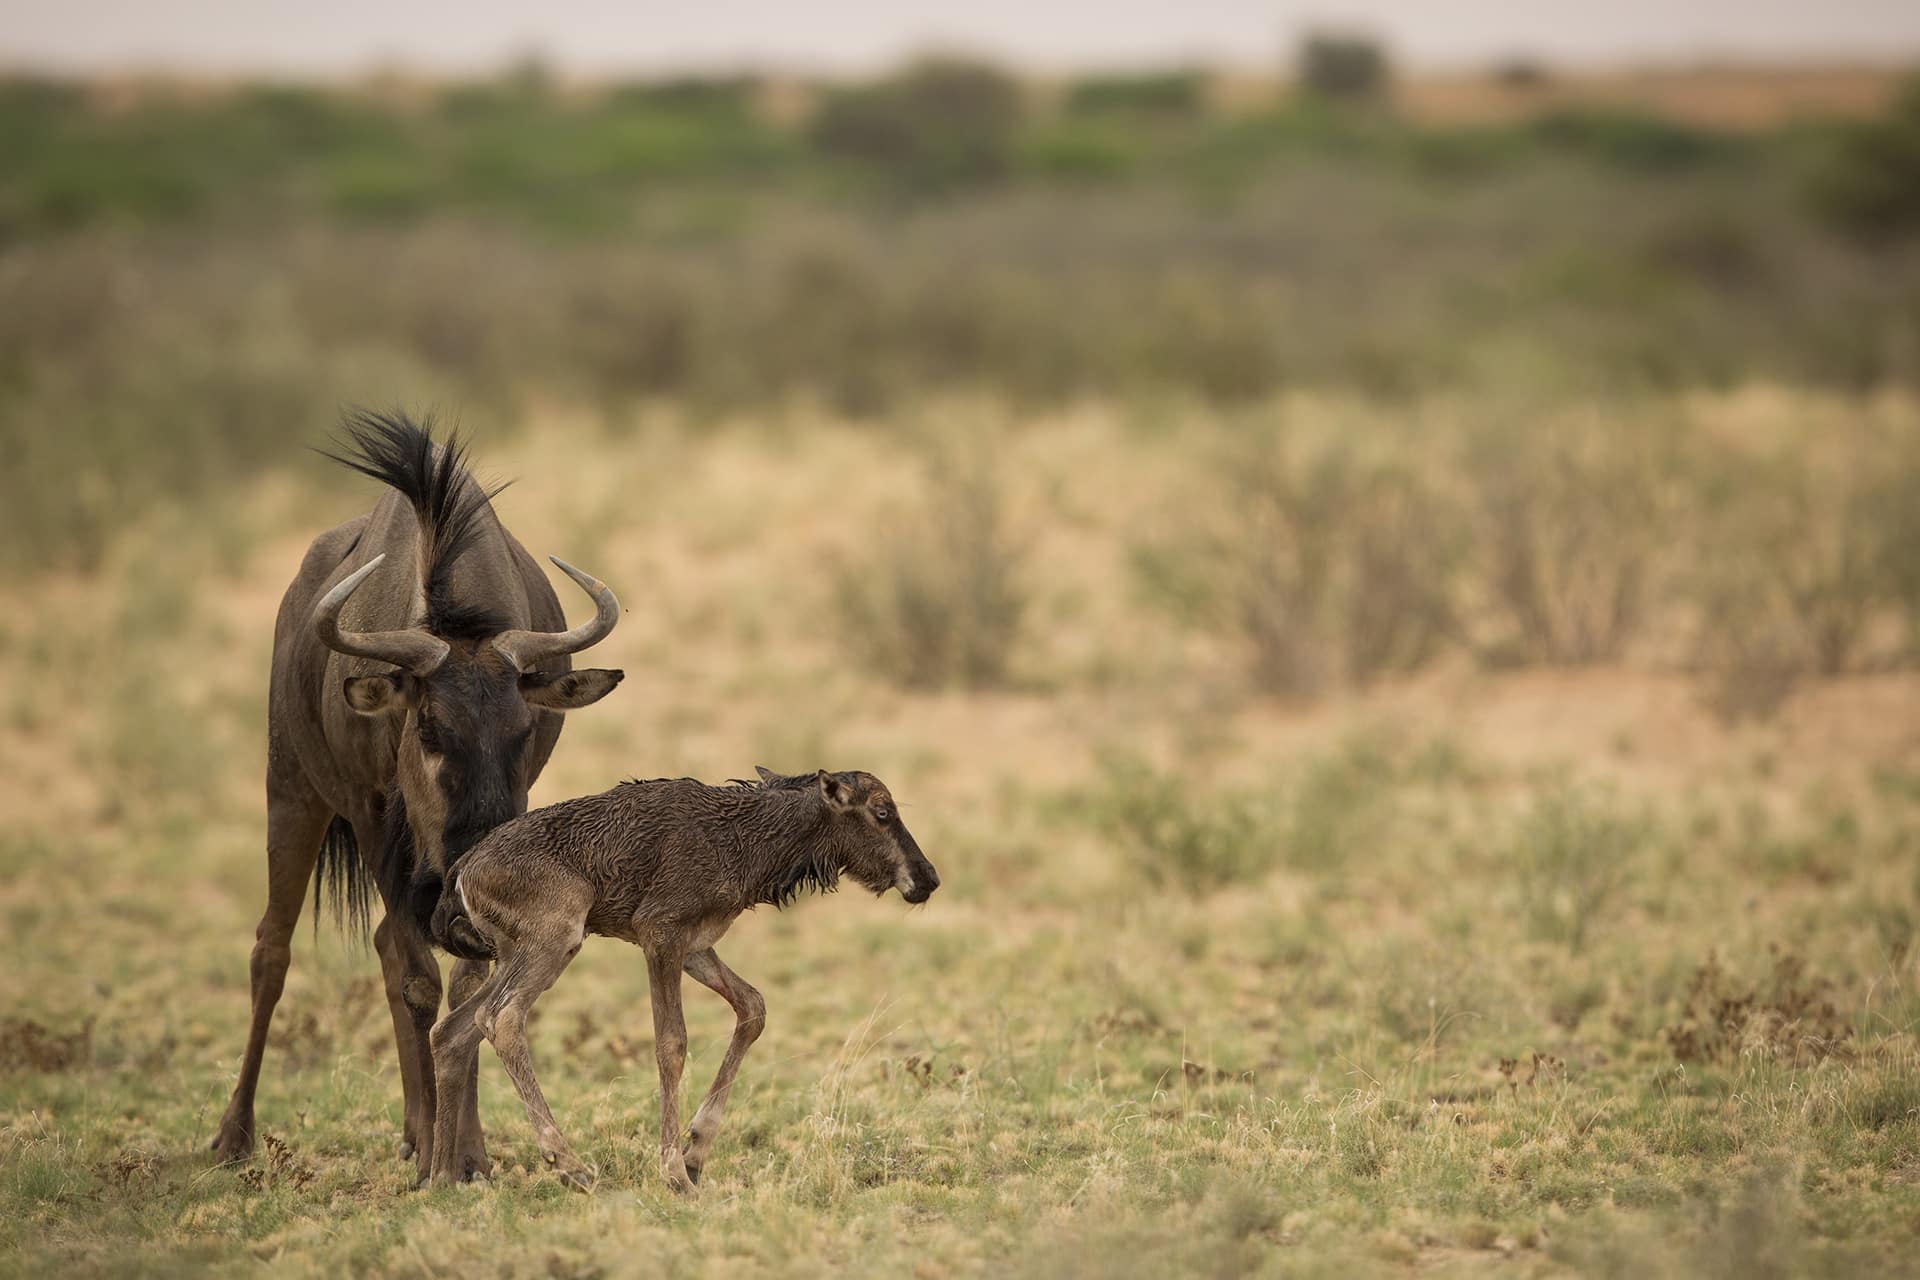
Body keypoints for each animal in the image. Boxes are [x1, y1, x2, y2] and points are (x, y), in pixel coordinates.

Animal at [210, 411, 624, 1182]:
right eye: (429, 728)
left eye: (524, 730)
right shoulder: (377, 826)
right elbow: (420, 981)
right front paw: (439, 1152)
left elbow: (465, 986)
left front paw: (466, 1153)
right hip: (292, 790)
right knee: (272, 951)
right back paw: (233, 1136)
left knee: (382, 946)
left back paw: (413, 1130)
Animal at [424, 766, 940, 1192]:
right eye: (882, 812)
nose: (928, 878)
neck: (746, 841)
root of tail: (461, 874)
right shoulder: (659, 933)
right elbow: (671, 1042)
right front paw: (674, 1172)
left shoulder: (696, 945)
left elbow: (753, 1006)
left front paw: (696, 1152)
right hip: (554, 939)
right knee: (501, 1018)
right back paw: (570, 1166)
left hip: (518, 953)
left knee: (451, 1030)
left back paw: (442, 1177)